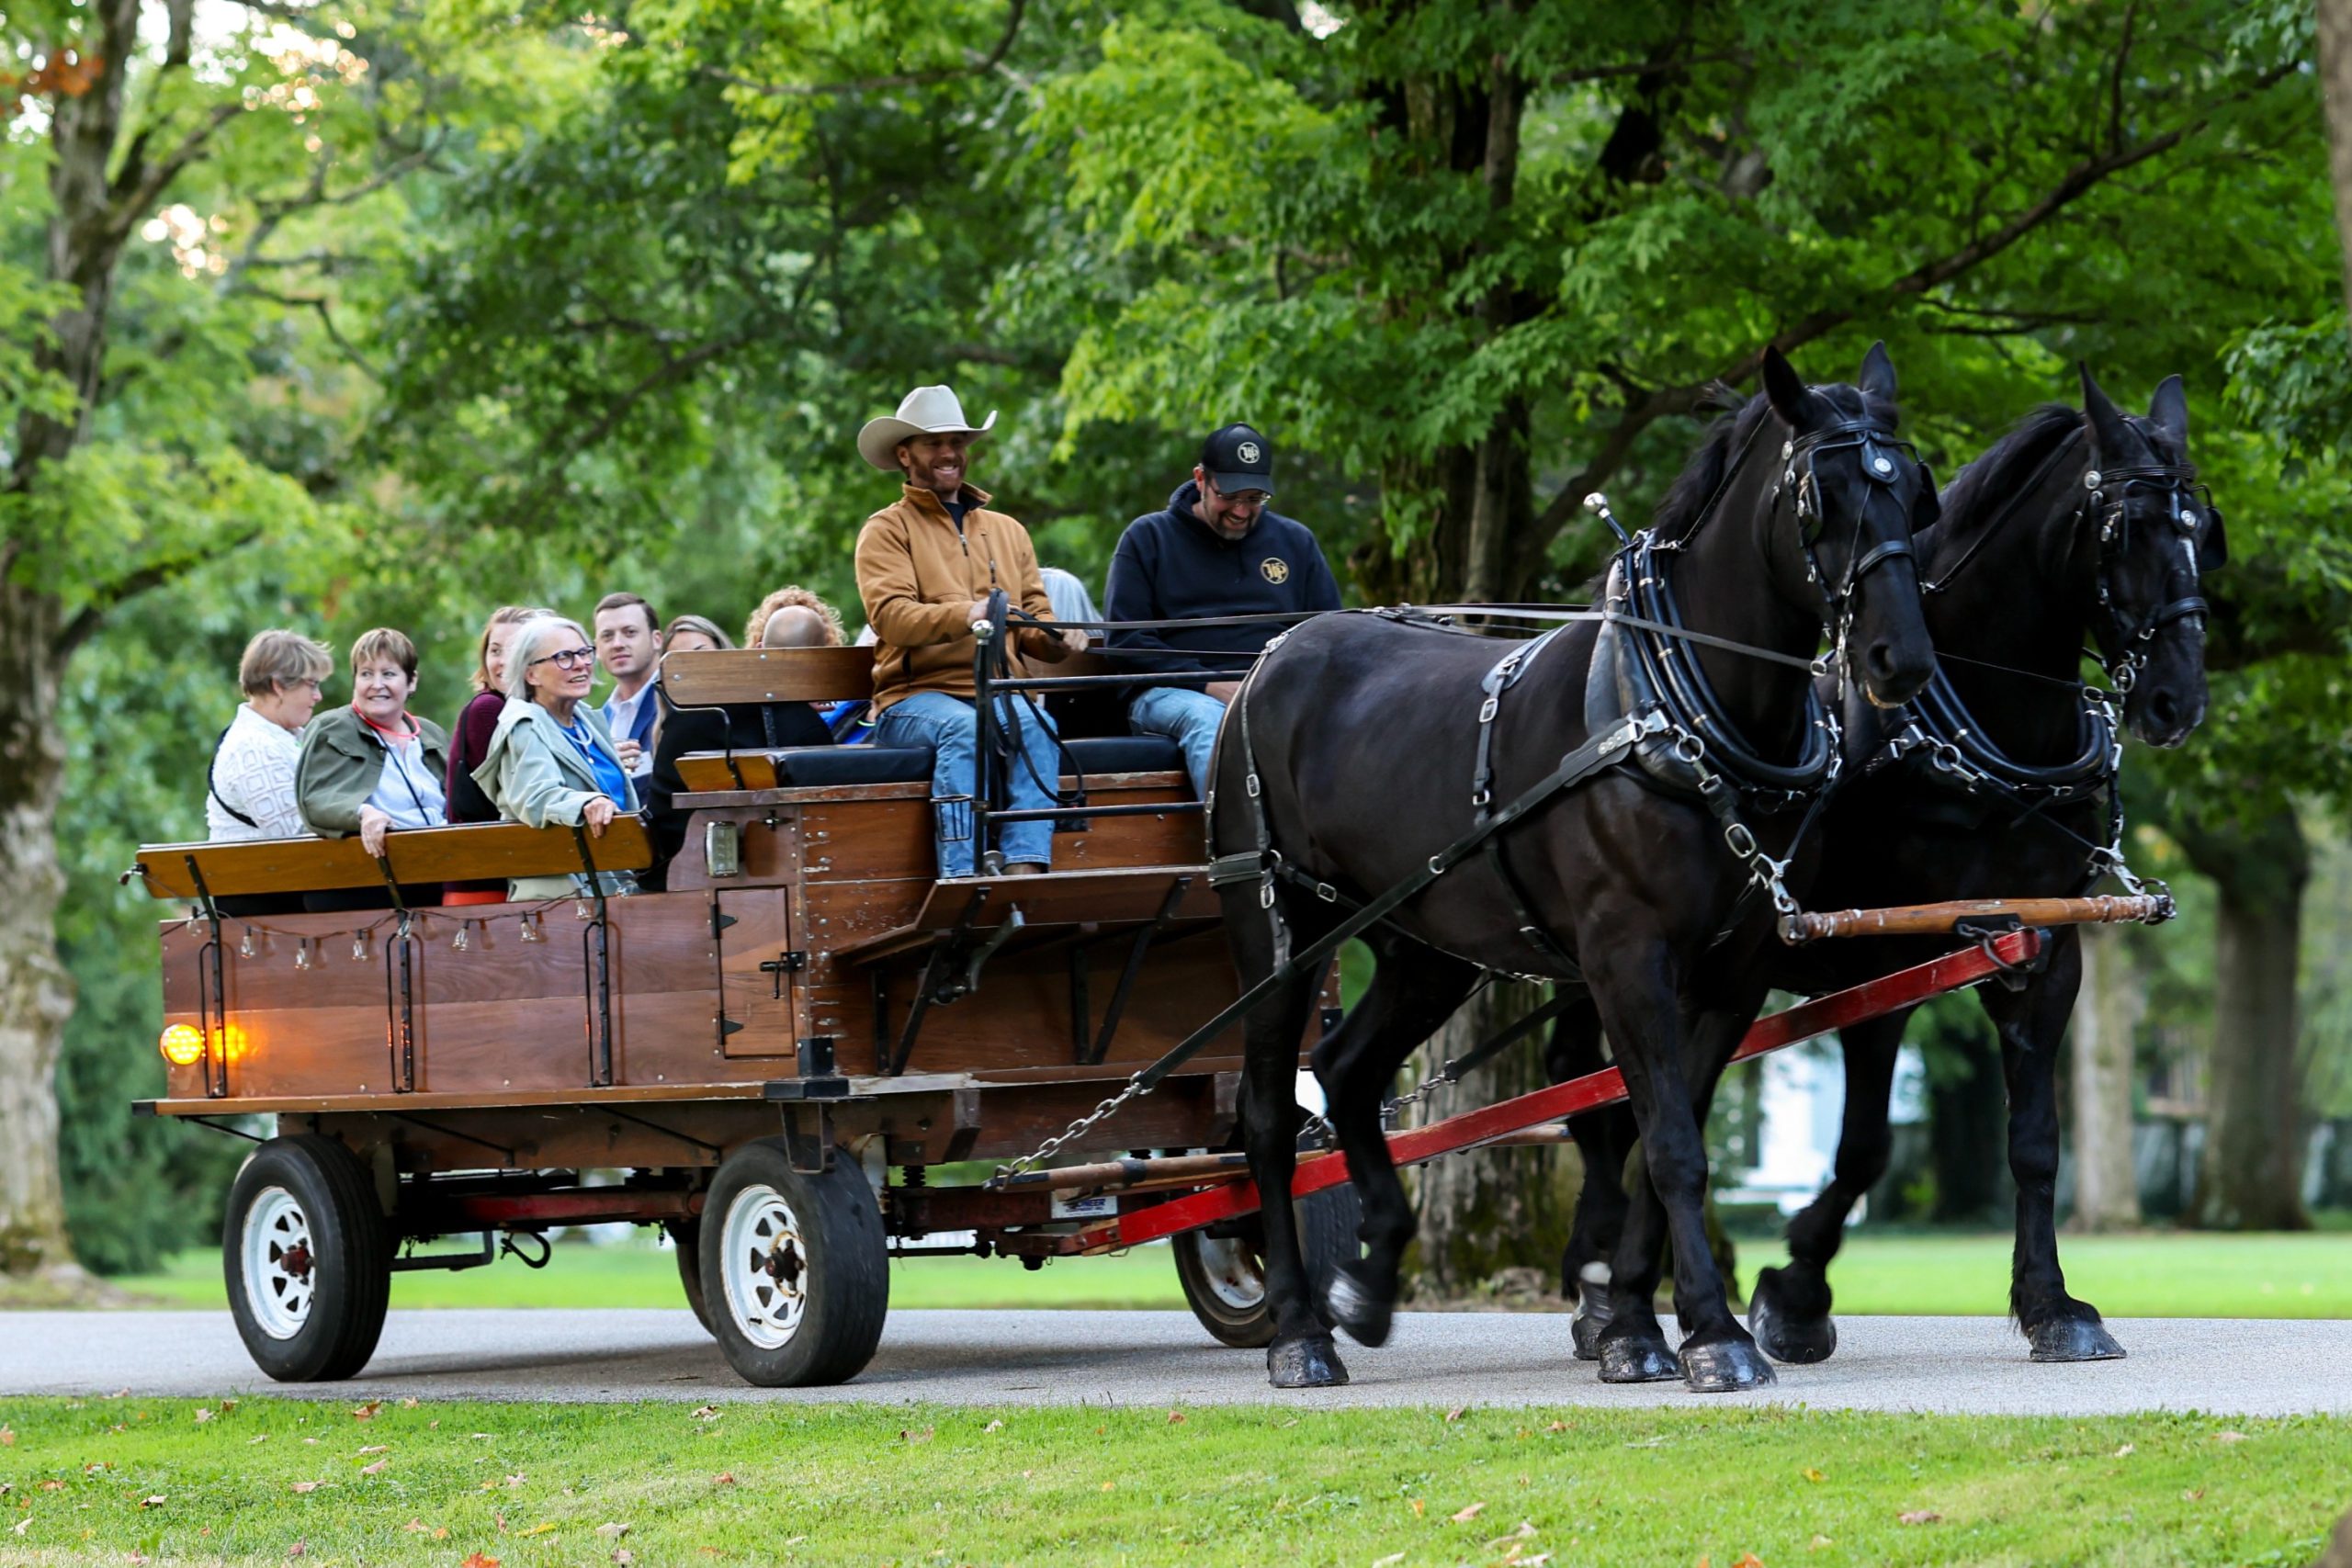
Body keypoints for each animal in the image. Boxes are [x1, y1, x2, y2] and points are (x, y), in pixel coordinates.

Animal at [1213, 345, 1928, 1401]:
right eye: (1818, 496)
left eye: (1912, 489)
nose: (1898, 657)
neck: (1672, 709)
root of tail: (1272, 655)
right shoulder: (1625, 958)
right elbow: (1668, 1144)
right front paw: (1710, 1334)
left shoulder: (1730, 974)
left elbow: (1663, 1139)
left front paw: (1635, 1322)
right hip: (1279, 934)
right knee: (1266, 1114)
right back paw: (1299, 1331)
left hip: (1426, 946)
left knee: (1346, 1071)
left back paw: (1369, 1284)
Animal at [1552, 364, 2211, 1363]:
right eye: (2122, 528)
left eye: (2200, 528)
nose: (2179, 699)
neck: (1978, 732)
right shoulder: (1880, 958)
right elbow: (1865, 1146)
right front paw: (1793, 1293)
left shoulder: (2045, 950)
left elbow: (2034, 1140)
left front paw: (2052, 1304)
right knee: (1600, 1101)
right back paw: (1600, 1293)